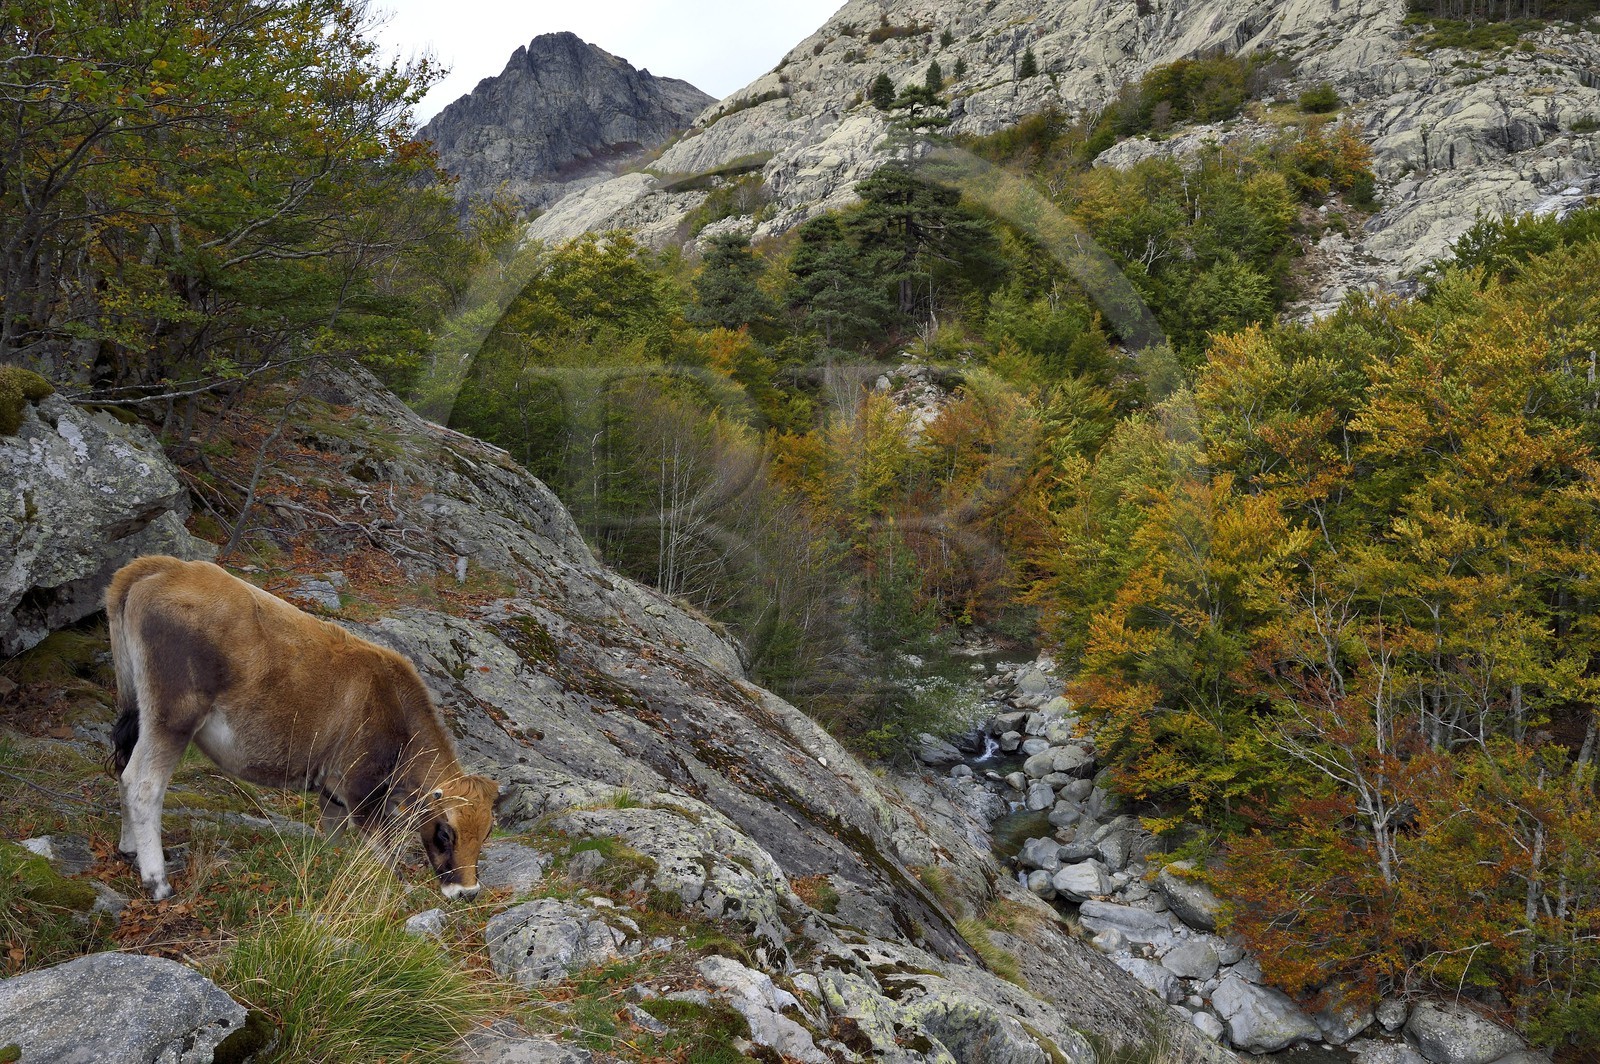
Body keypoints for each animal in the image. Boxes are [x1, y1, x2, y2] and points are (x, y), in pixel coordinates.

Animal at [104, 555, 498, 902]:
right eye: (446, 833)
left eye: (487, 832)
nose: (467, 892)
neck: (396, 707)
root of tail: (165, 567)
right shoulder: (362, 792)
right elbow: (383, 853)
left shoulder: (333, 793)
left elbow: (333, 841)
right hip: (173, 716)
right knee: (142, 784)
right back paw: (157, 882)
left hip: (138, 709)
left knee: (123, 769)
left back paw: (128, 849)